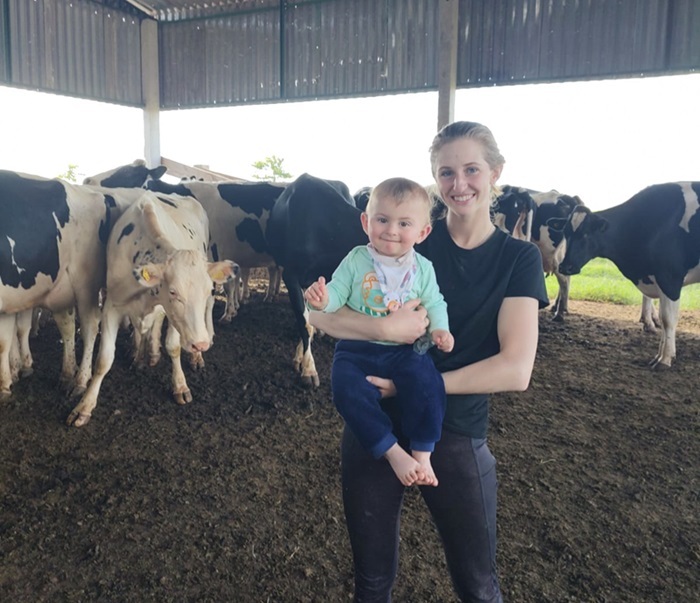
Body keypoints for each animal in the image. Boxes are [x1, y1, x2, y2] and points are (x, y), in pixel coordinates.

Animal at [67, 191, 239, 428]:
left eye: (208, 290)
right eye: (173, 292)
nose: (201, 344)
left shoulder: (173, 315)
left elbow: (173, 347)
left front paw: (180, 386)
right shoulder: (112, 306)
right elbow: (104, 360)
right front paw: (84, 406)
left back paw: (191, 357)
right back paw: (144, 355)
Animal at [548, 182, 700, 368]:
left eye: (586, 234)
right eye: (566, 232)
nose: (565, 267)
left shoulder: (670, 278)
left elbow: (668, 320)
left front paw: (664, 359)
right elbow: (663, 320)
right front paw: (660, 355)